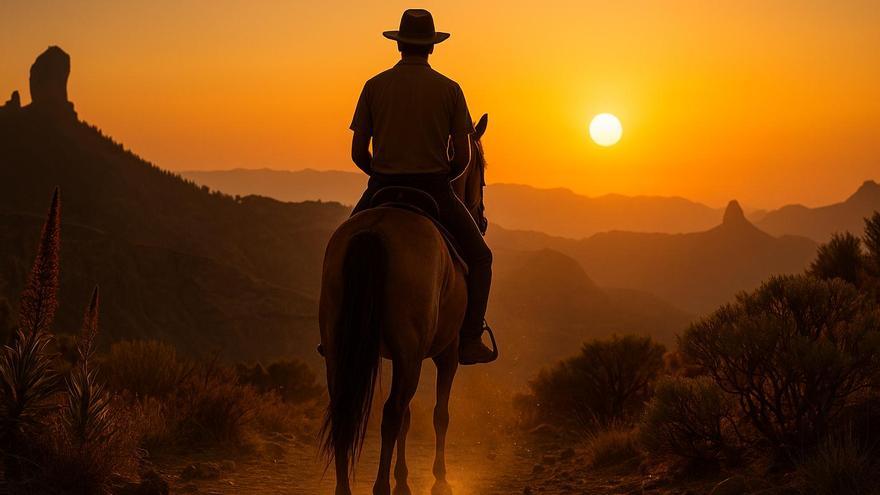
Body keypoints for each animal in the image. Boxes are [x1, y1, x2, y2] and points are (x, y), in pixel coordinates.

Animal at [319, 114, 490, 495]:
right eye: (482, 168)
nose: (482, 219)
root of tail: (375, 231)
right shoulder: (444, 353)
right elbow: (438, 415)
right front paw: (438, 479)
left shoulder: (401, 355)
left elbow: (412, 417)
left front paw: (404, 478)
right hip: (413, 353)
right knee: (391, 413)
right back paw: (381, 486)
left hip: (340, 346)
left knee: (346, 406)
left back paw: (346, 488)